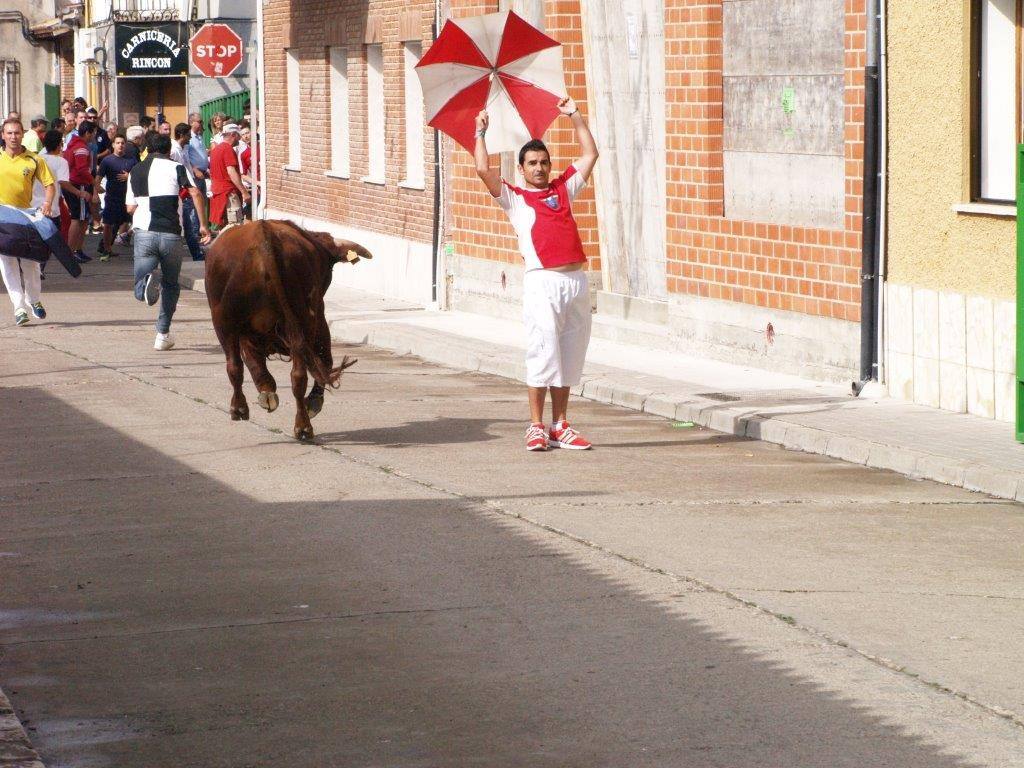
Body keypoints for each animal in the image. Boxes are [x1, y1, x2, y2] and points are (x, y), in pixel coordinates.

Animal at [203, 219, 372, 442]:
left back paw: (241, 408)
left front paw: (267, 392)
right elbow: (323, 361)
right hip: (303, 321)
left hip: (225, 322)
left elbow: (254, 363)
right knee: (299, 374)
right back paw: (303, 425)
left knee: (235, 366)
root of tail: (264, 236)